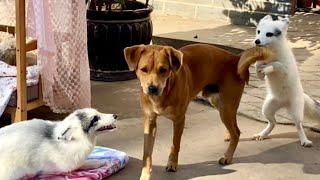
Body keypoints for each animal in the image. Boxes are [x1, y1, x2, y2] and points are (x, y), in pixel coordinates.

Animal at [124, 43, 274, 179]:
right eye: (143, 69)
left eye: (163, 70)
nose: (152, 88)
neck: (164, 92)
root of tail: (235, 58)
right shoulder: (149, 121)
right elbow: (147, 153)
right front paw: (145, 175)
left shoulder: (179, 120)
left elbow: (175, 144)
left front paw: (172, 164)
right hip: (220, 104)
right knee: (234, 127)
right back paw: (228, 136)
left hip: (225, 107)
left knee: (236, 132)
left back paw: (227, 156)